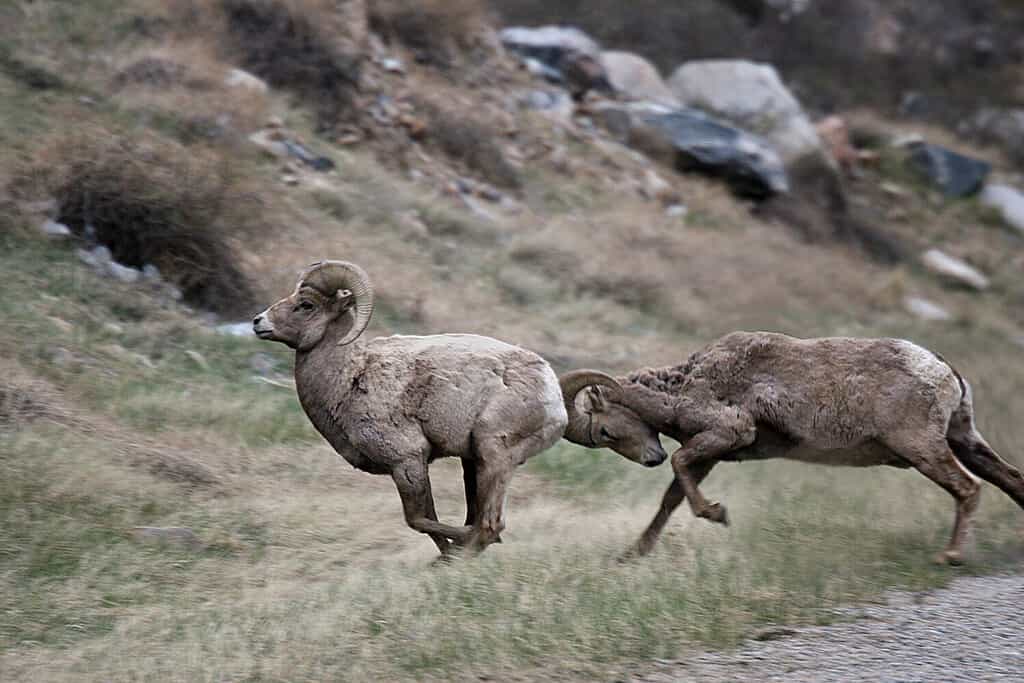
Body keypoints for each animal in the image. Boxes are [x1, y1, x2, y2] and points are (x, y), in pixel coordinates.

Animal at [250, 260, 565, 557]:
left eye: (306, 305)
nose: (257, 322)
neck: (352, 376)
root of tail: (553, 392)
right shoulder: (411, 467)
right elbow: (428, 521)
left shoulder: (407, 462)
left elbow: (418, 520)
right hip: (472, 463)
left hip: (493, 457)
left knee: (488, 525)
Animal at [561, 331, 1024, 565]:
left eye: (604, 431)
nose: (650, 459)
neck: (684, 387)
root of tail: (943, 370)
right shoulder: (711, 452)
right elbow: (672, 496)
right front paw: (633, 554)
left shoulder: (726, 434)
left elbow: (679, 467)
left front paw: (718, 515)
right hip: (963, 439)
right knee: (1011, 480)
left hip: (923, 449)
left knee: (968, 489)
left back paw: (950, 556)